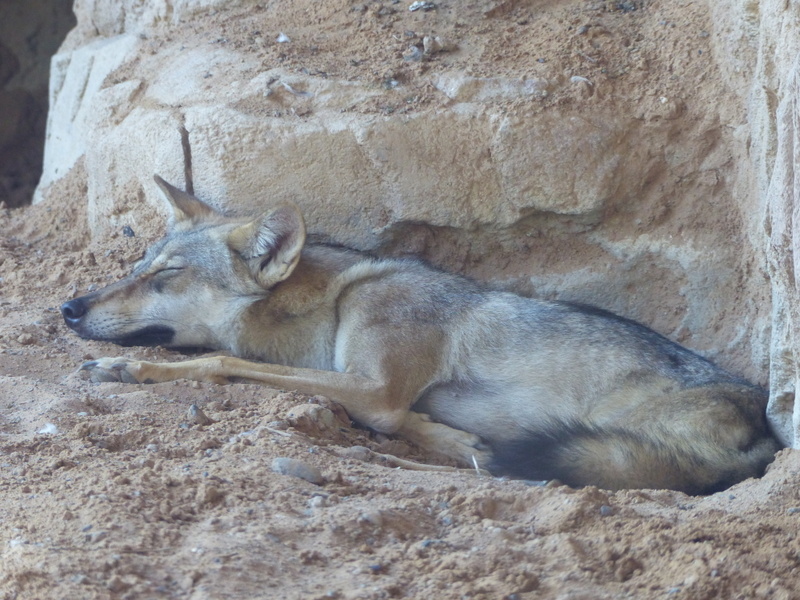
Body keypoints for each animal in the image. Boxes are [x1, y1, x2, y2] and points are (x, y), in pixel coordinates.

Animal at [61, 175, 780, 492]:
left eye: (167, 275)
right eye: (137, 265)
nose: (68, 307)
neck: (331, 305)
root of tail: (768, 431)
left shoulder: (375, 388)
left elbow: (221, 362)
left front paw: (135, 369)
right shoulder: (375, 392)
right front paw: (459, 439)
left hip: (613, 426)